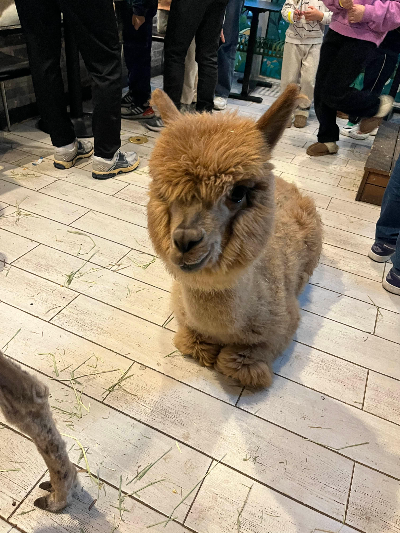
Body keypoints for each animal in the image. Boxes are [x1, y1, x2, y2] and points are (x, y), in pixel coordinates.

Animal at [147, 84, 322, 389]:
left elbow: (238, 363)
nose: (185, 241)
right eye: (162, 188)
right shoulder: (183, 315)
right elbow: (192, 343)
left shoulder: (283, 326)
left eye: (238, 192)